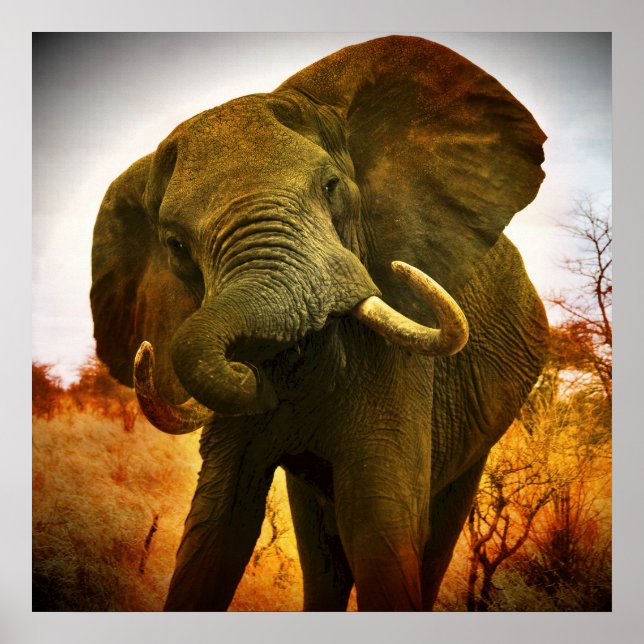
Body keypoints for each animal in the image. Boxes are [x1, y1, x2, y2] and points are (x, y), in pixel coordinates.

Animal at [90, 35, 549, 611]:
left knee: (434, 533)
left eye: (331, 187)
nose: (257, 378)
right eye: (174, 244)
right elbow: (216, 526)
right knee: (321, 547)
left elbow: (379, 524)